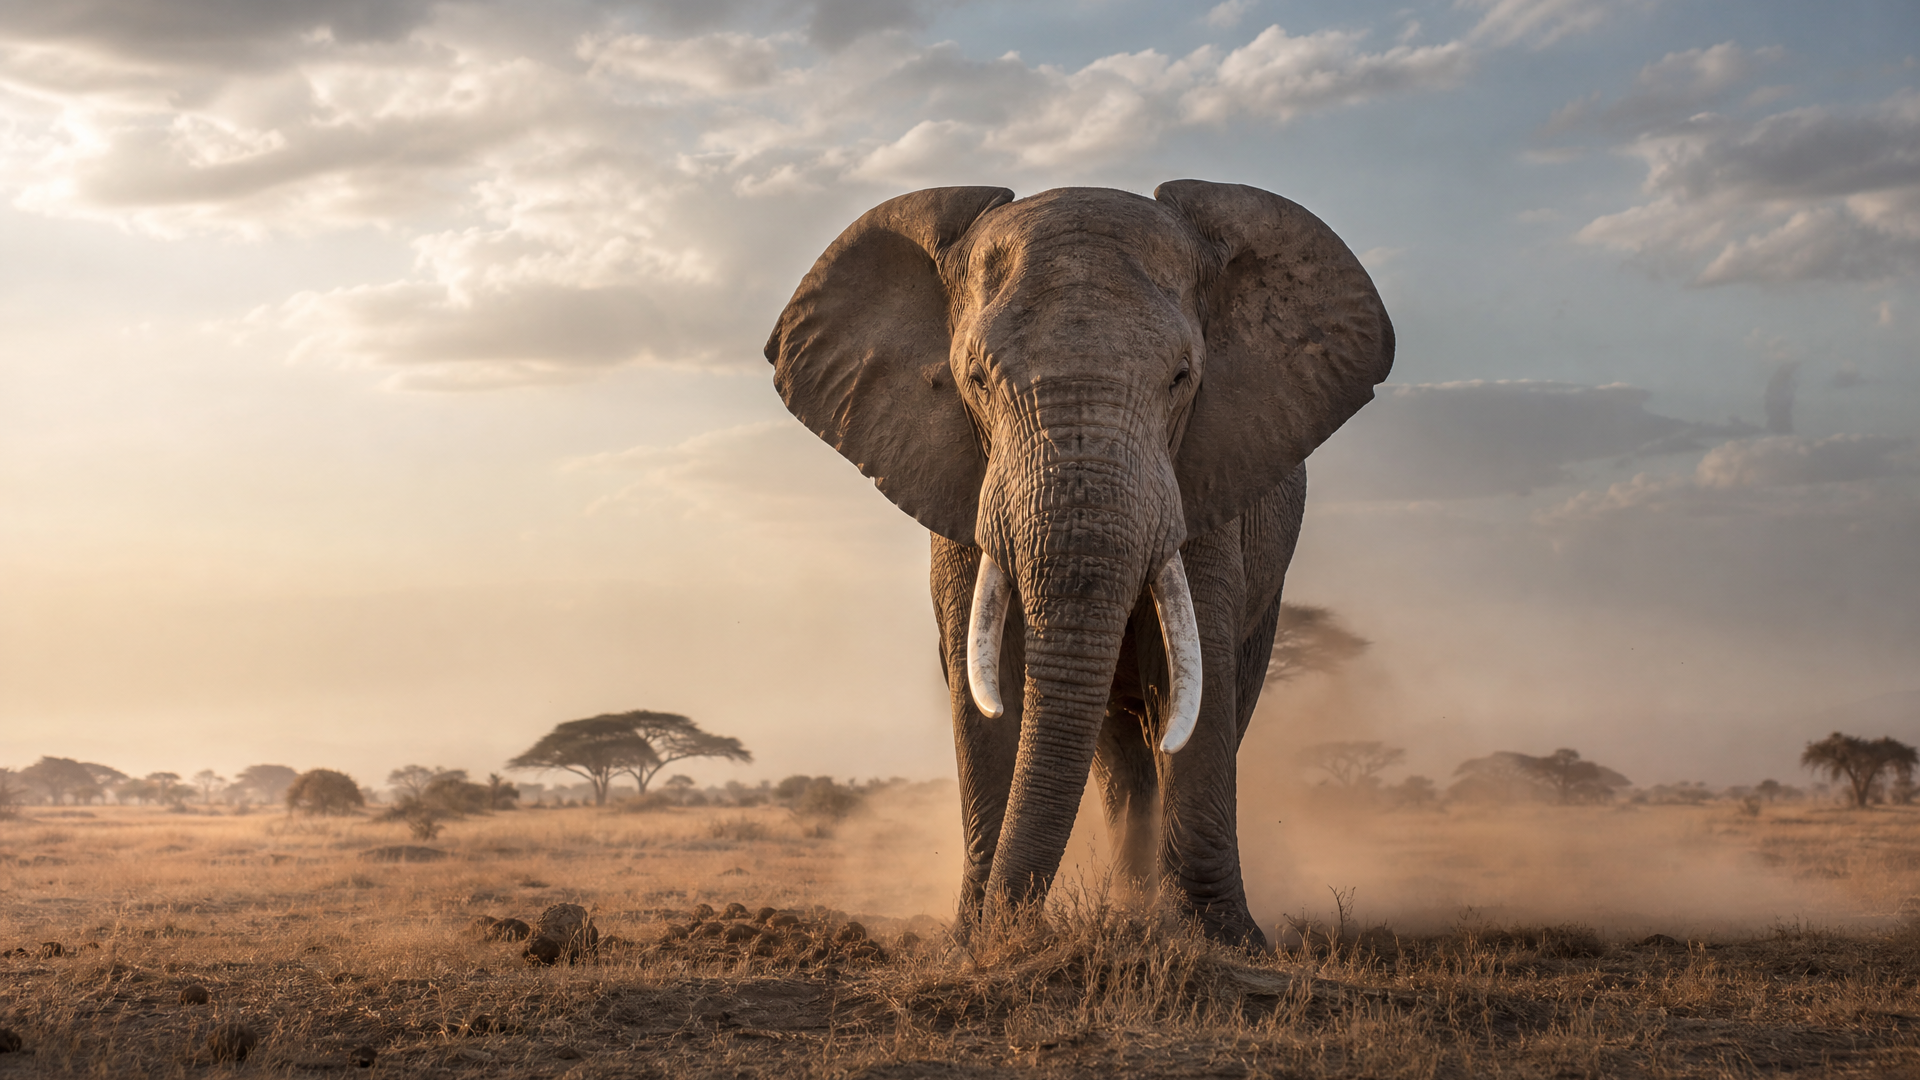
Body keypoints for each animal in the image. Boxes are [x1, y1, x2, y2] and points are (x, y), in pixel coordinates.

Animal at [765, 181, 1393, 946]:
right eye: (975, 378)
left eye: (1182, 378)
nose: (1014, 929)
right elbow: (984, 678)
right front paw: (971, 938)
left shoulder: (1208, 476)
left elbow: (1193, 671)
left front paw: (1222, 940)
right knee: (1119, 749)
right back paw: (1130, 910)